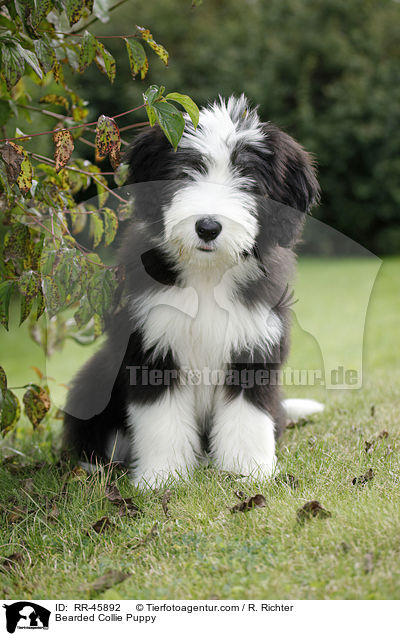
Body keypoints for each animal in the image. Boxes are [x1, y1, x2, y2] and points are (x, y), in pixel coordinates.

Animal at [64, 95, 324, 486]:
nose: (208, 226)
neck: (208, 275)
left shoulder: (254, 343)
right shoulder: (151, 345)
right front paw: (161, 477)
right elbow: (160, 418)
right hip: (94, 379)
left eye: (248, 182)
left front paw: (249, 470)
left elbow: (247, 415)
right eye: (186, 174)